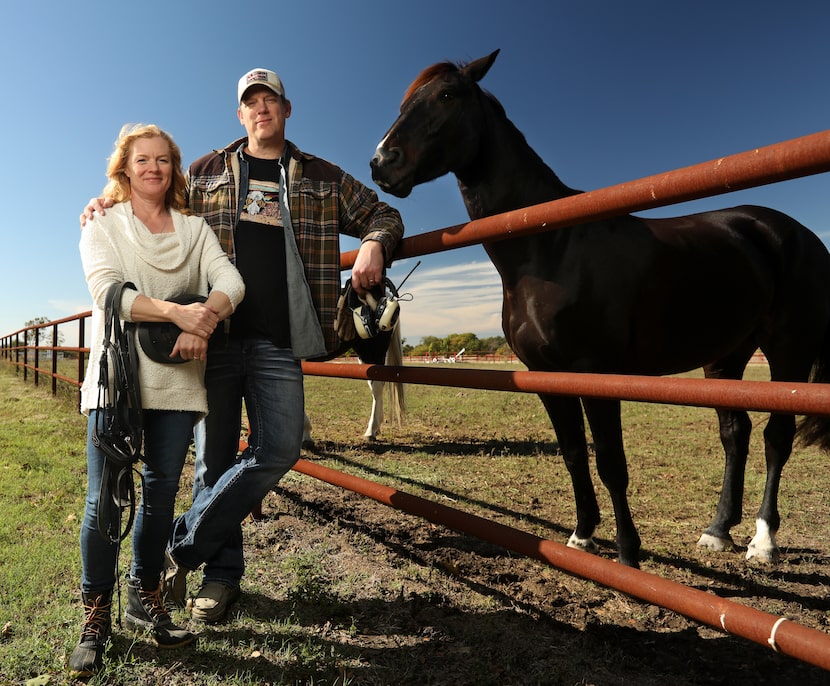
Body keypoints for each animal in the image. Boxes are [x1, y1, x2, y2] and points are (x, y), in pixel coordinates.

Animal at [372, 51, 830, 568]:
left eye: (448, 95)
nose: (381, 162)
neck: (551, 245)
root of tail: (796, 234)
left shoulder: (595, 372)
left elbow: (611, 462)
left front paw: (628, 553)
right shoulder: (546, 376)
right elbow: (574, 452)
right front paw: (583, 535)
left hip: (788, 352)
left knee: (777, 437)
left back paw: (763, 540)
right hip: (725, 357)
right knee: (736, 433)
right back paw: (717, 530)